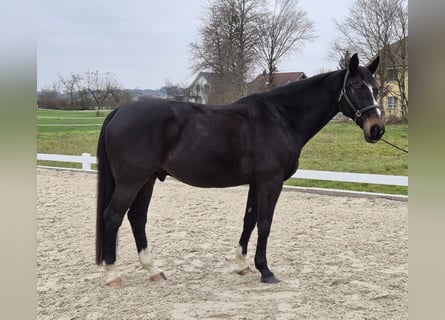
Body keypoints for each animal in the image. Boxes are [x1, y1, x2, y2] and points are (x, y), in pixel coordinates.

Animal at [95, 53, 384, 286]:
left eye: (376, 88)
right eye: (357, 87)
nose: (377, 129)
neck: (281, 117)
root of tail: (119, 111)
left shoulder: (256, 182)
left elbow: (250, 220)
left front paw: (243, 265)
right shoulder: (271, 181)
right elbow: (265, 223)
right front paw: (265, 270)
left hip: (147, 180)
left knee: (137, 218)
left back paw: (153, 270)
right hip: (131, 182)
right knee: (112, 217)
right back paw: (113, 274)